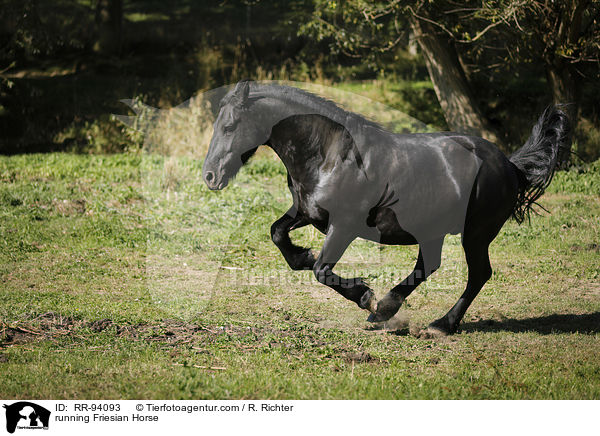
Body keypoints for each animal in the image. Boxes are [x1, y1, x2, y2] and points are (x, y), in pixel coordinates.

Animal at [203, 81, 572, 338]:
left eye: (230, 126)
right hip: (434, 232)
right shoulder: (306, 212)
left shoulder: (344, 225)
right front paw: (303, 256)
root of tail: (509, 165)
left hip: (476, 234)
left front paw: (365, 295)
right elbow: (279, 236)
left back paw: (438, 324)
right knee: (429, 266)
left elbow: (321, 269)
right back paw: (387, 310)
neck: (328, 154)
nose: (210, 175)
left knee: (478, 274)